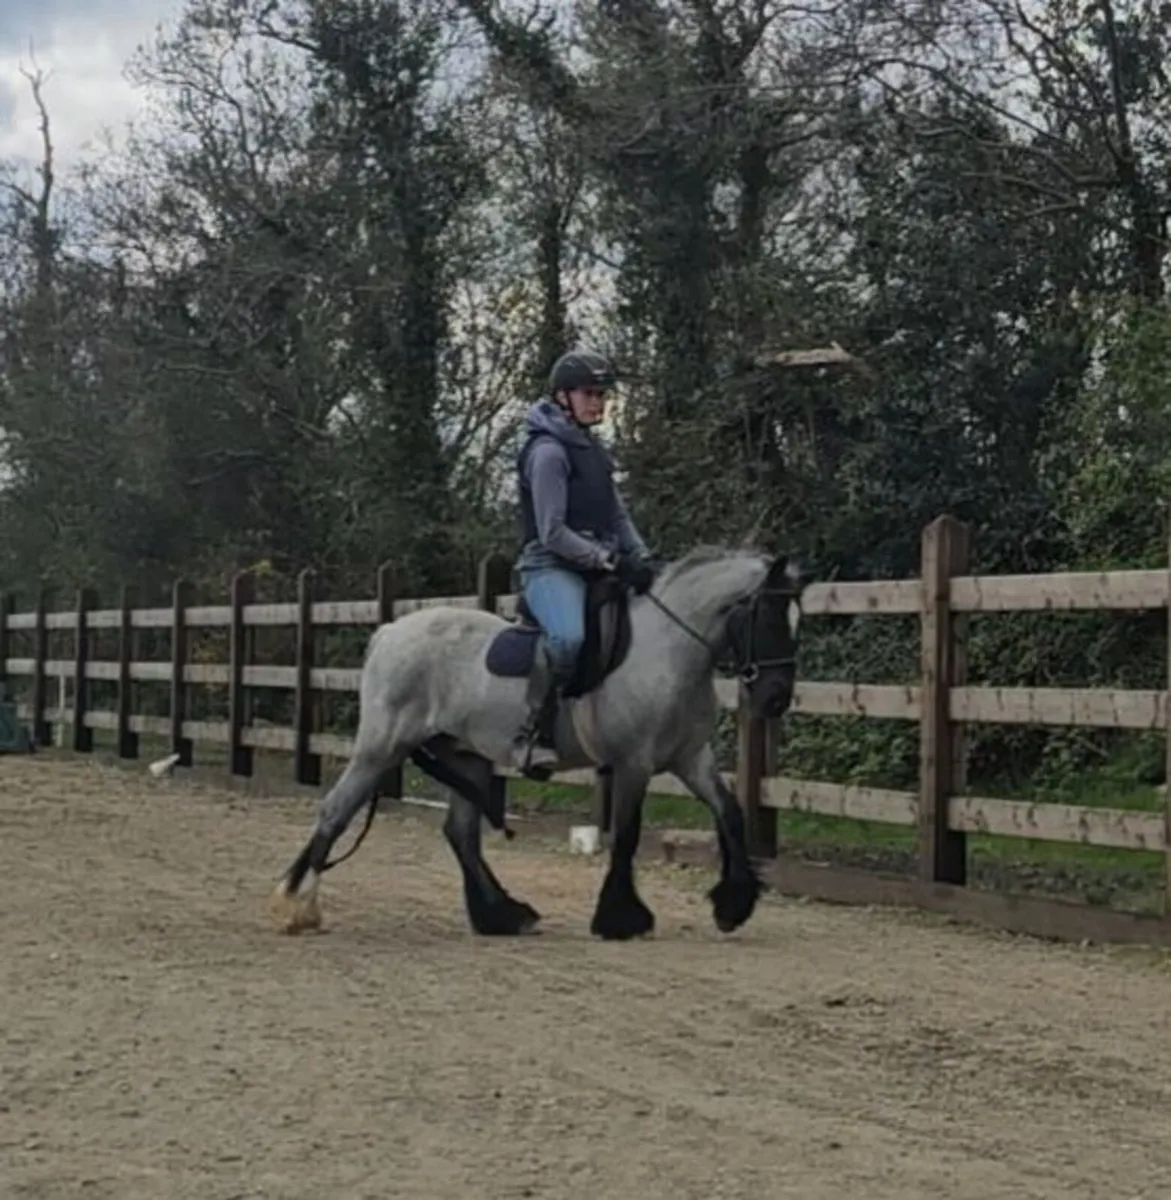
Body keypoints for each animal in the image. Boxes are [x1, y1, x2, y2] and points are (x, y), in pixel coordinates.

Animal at [267, 543, 805, 941]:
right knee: (336, 810)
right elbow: (626, 835)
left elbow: (730, 813)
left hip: (467, 756)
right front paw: (621, 919)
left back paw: (503, 916)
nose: (777, 698)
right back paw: (298, 906)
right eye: (768, 617)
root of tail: (389, 631)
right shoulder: (633, 762)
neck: (667, 652)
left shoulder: (690, 759)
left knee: (460, 833)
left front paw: (733, 906)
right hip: (382, 747)